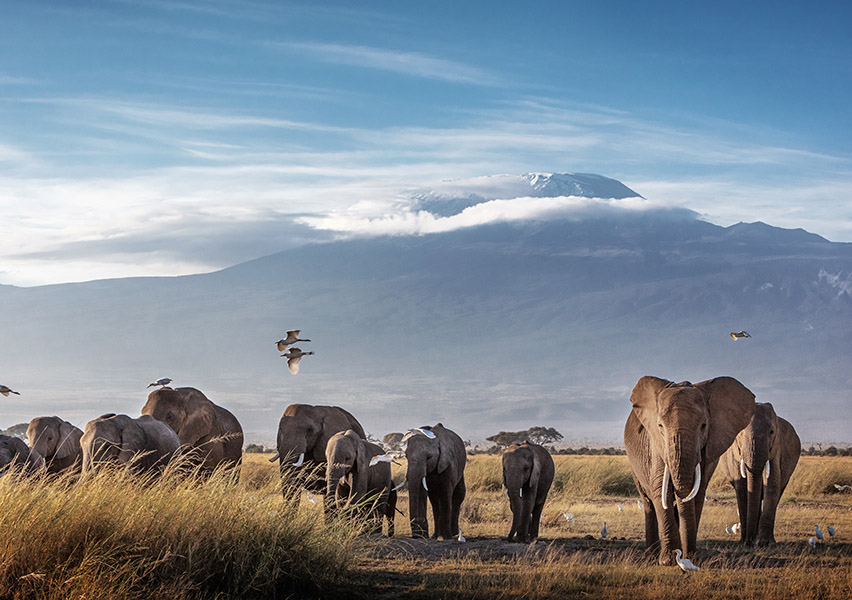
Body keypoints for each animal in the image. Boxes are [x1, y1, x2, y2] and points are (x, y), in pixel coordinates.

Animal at [624, 378, 756, 564]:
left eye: (703, 426)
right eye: (660, 426)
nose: (686, 556)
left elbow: (697, 492)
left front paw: (689, 557)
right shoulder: (655, 444)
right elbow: (660, 489)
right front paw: (668, 561)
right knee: (648, 502)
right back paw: (651, 555)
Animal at [720, 400, 800, 548]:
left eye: (771, 432)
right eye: (739, 434)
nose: (749, 542)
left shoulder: (776, 449)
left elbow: (772, 484)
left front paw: (765, 543)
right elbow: (742, 488)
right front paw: (745, 542)